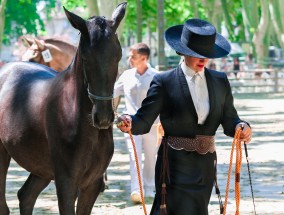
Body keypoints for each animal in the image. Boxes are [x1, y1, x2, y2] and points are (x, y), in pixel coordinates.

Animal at [0, 2, 126, 214]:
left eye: (118, 55)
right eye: (85, 57)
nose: (103, 118)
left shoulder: (92, 184)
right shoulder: (66, 182)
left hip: (41, 168)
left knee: (26, 196)